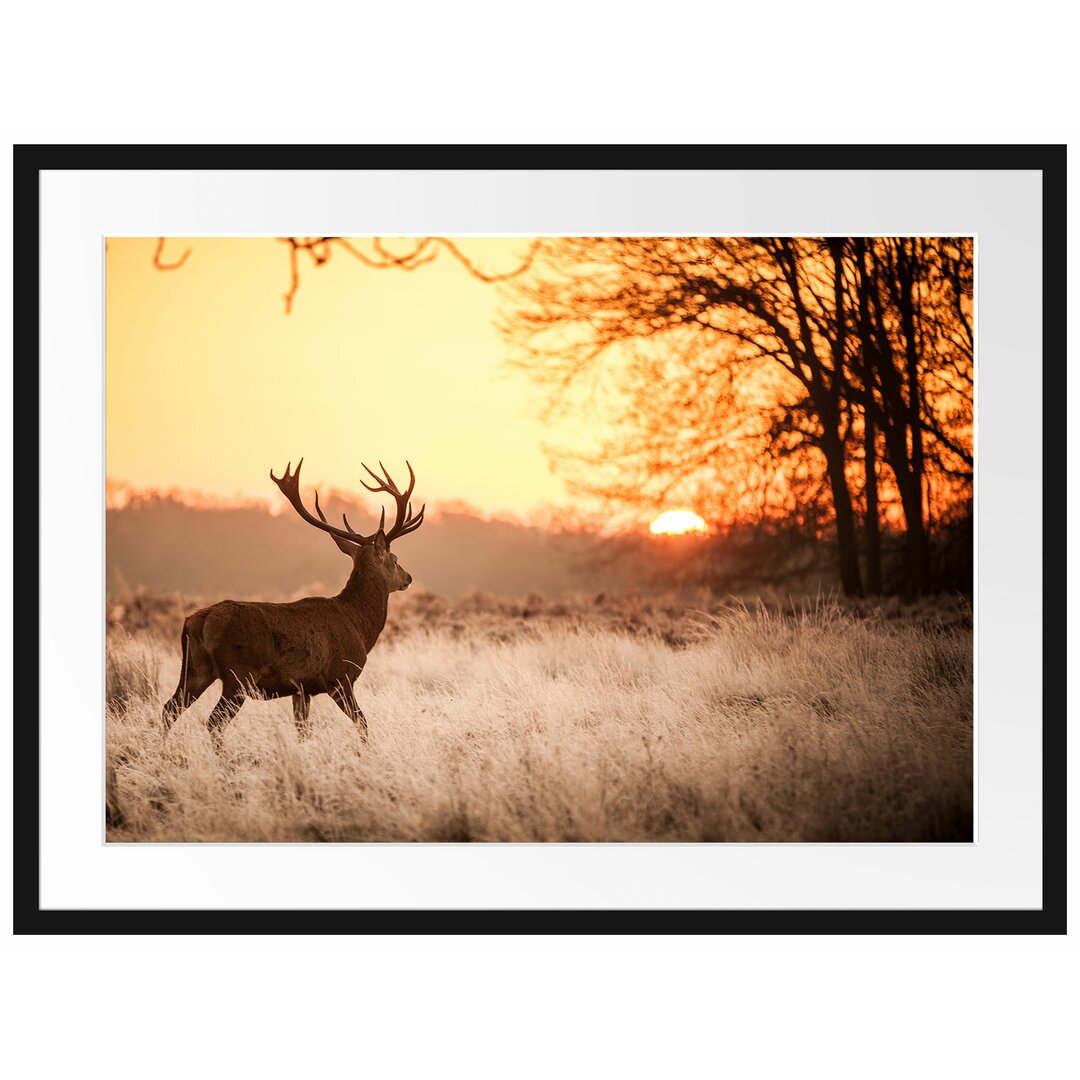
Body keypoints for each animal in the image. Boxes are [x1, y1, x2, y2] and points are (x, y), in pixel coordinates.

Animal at [162, 460, 423, 756]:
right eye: (395, 558)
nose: (408, 577)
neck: (358, 624)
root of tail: (198, 620)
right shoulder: (340, 678)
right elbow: (363, 723)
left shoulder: (302, 688)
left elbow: (302, 731)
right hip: (238, 674)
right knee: (213, 721)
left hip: (195, 669)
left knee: (169, 708)